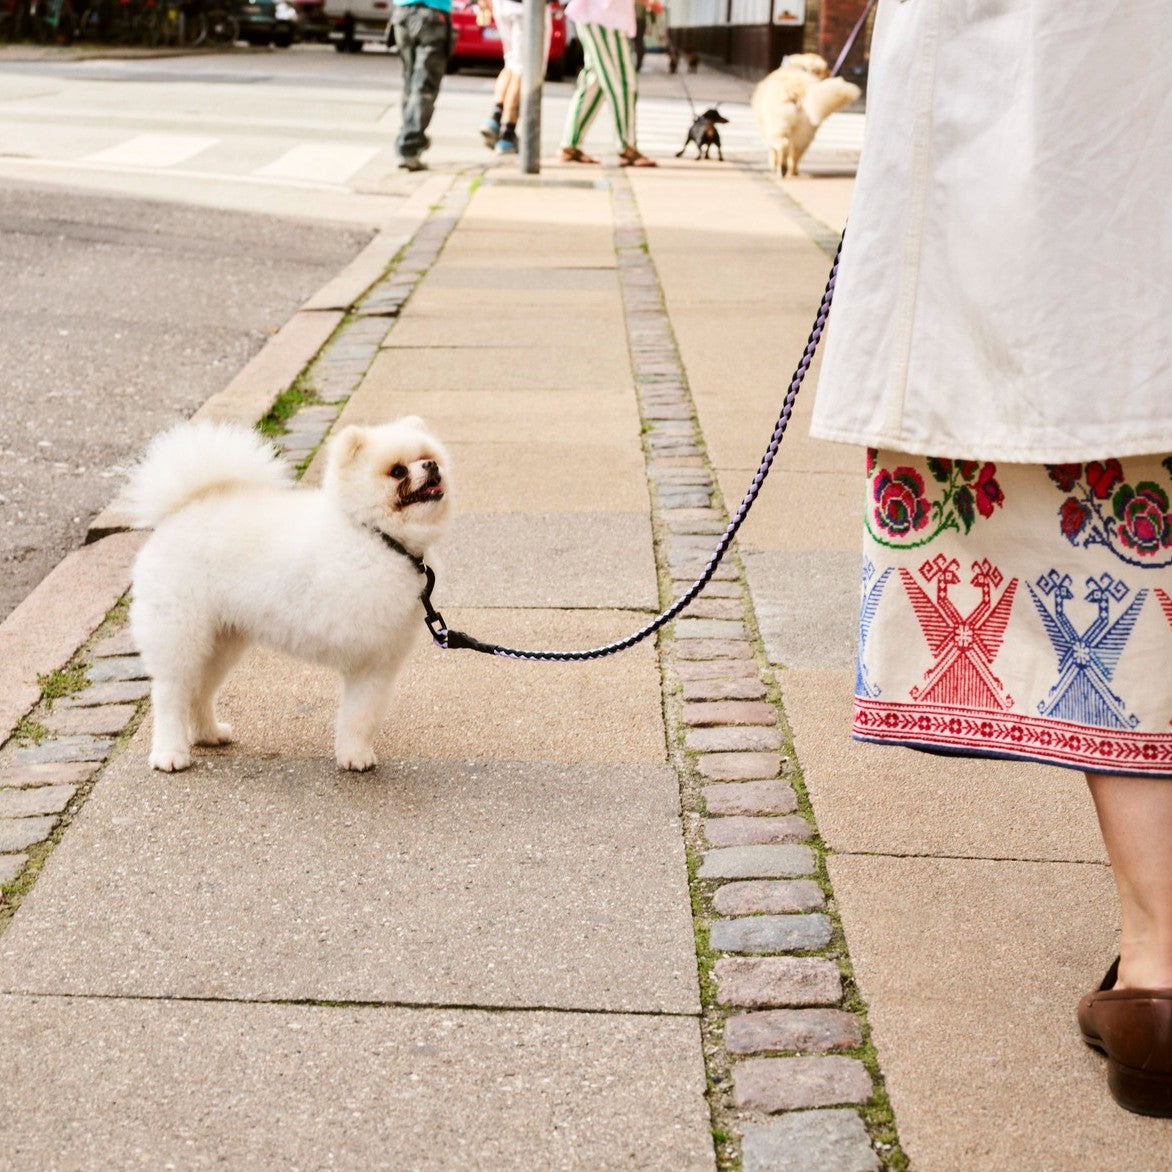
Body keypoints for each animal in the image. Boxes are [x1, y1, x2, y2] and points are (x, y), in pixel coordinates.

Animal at [125, 417, 450, 773]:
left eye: (428, 457)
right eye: (397, 471)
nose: (431, 466)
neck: (375, 537)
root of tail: (181, 511)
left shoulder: (377, 663)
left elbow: (361, 716)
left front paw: (355, 754)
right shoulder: (368, 653)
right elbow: (359, 713)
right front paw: (354, 756)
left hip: (220, 640)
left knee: (199, 690)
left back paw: (208, 734)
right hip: (180, 633)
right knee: (170, 694)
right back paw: (169, 754)